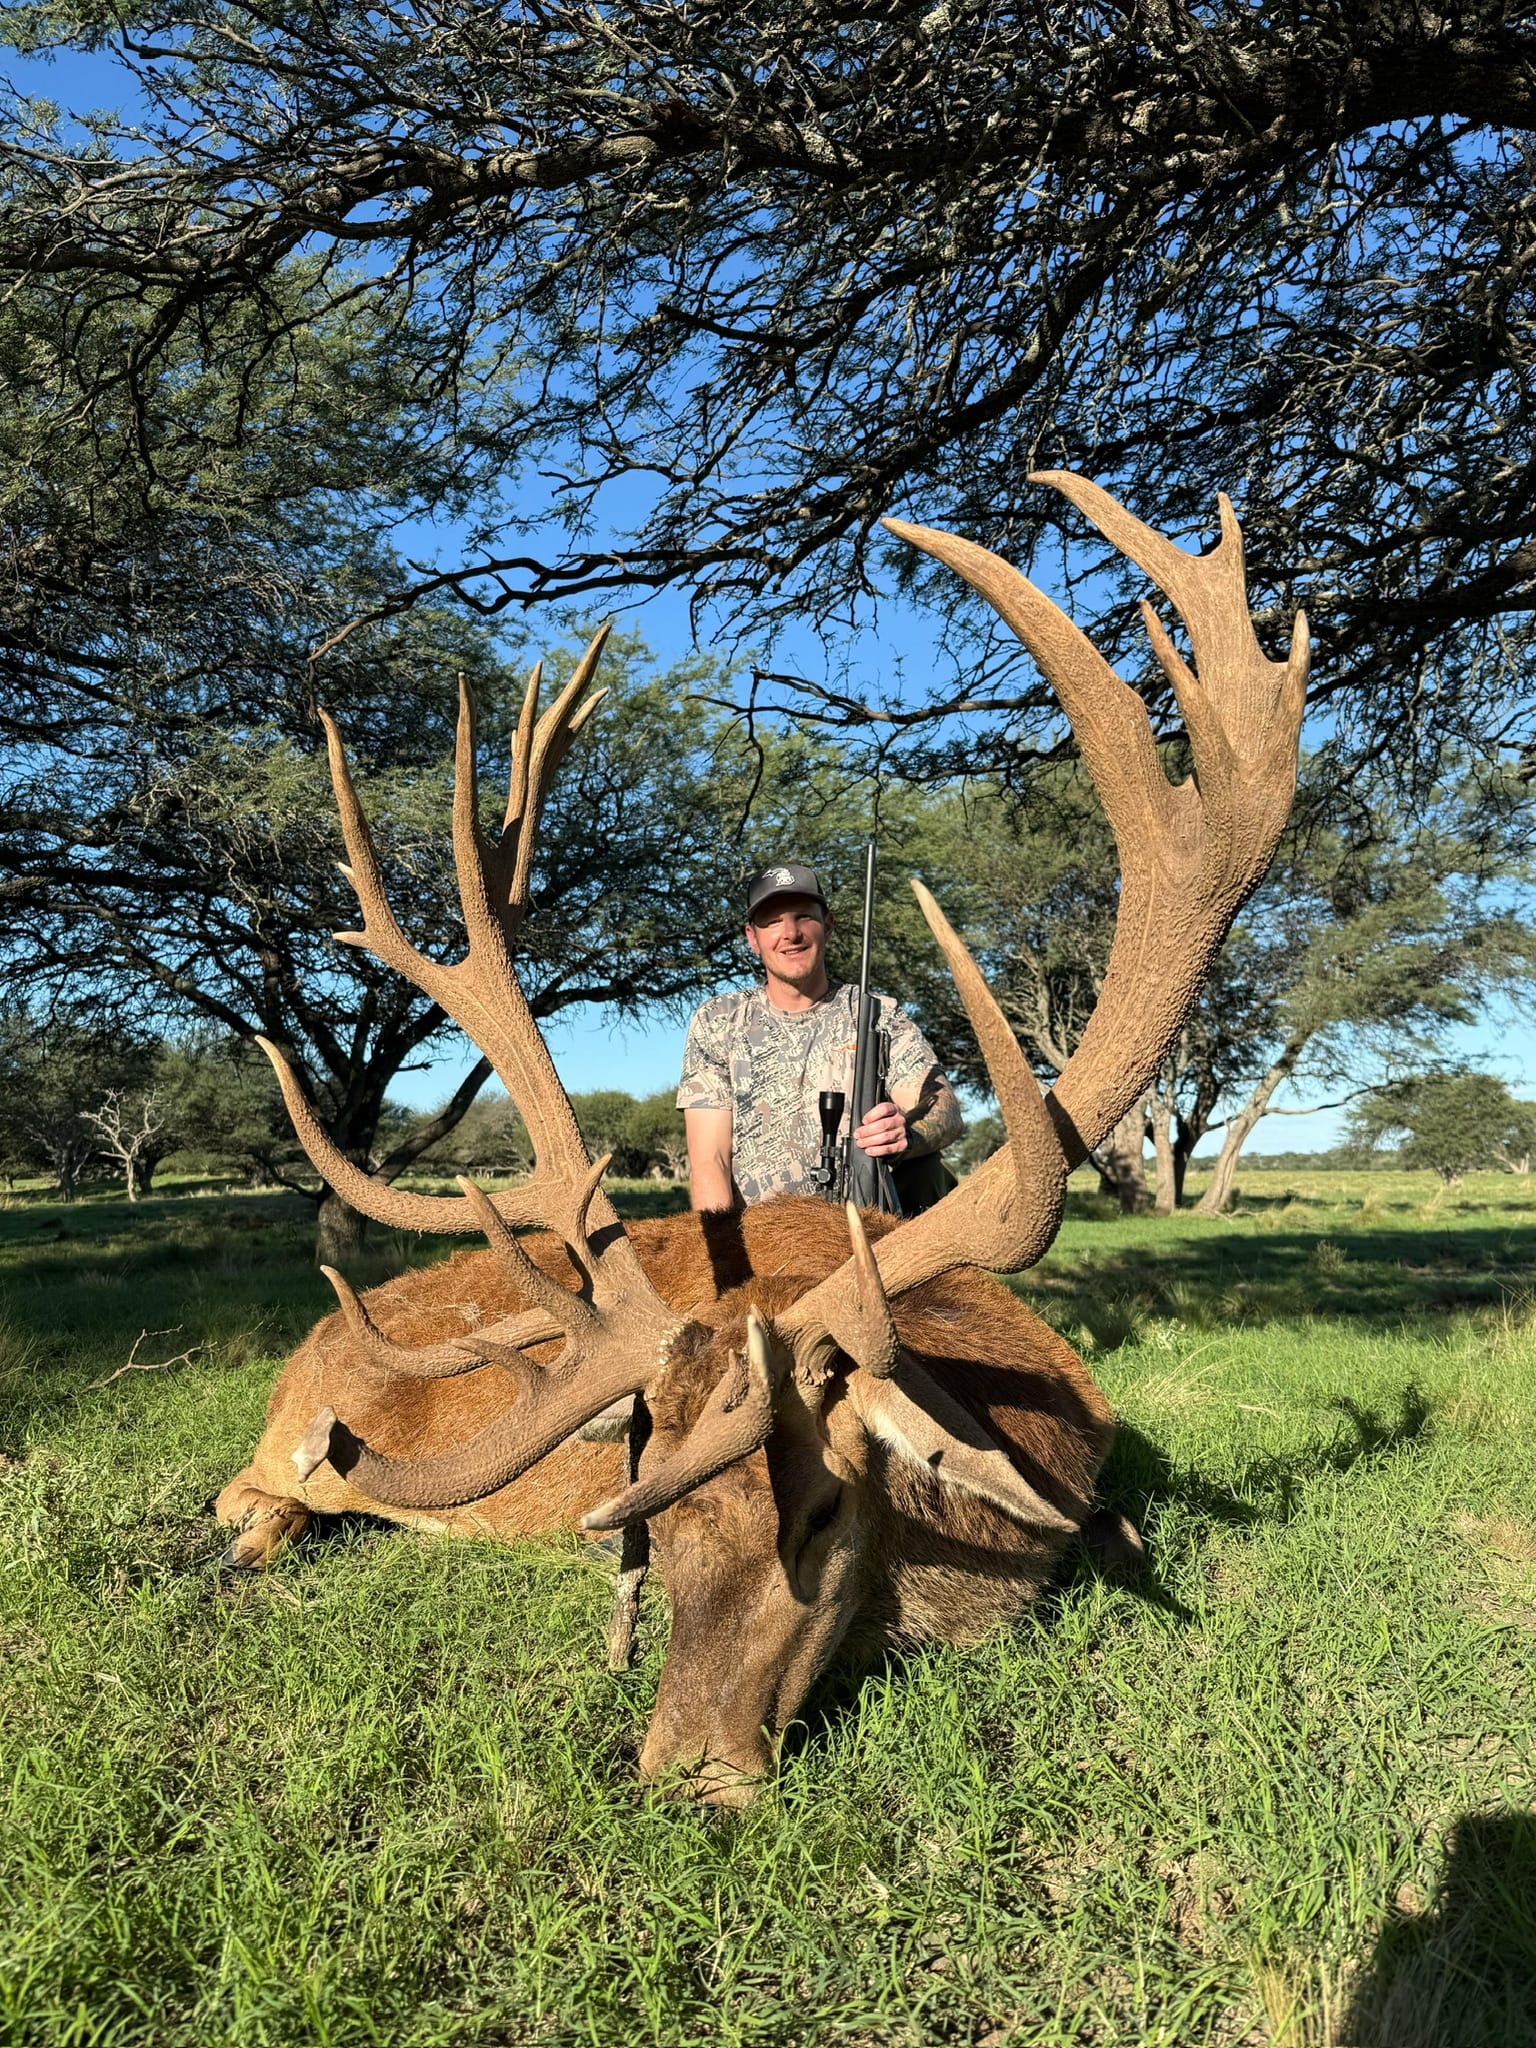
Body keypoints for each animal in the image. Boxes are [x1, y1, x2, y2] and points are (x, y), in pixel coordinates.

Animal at [214, 473, 1306, 1807]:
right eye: (658, 1516)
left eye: (823, 1511)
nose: (688, 1768)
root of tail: (309, 1348)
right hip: (286, 1448)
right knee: (248, 1496)